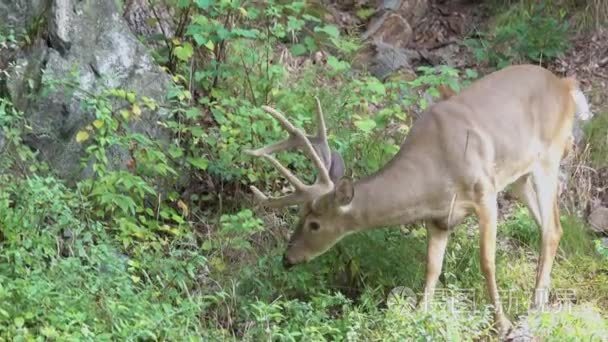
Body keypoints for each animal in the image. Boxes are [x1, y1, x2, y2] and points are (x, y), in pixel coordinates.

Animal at [245, 64, 592, 336]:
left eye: (315, 224)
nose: (287, 258)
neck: (434, 173)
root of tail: (565, 85)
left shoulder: (485, 192)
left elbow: (487, 261)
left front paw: (502, 324)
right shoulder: (439, 218)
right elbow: (432, 267)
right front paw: (419, 314)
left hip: (548, 156)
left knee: (552, 228)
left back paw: (535, 304)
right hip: (520, 176)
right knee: (551, 226)